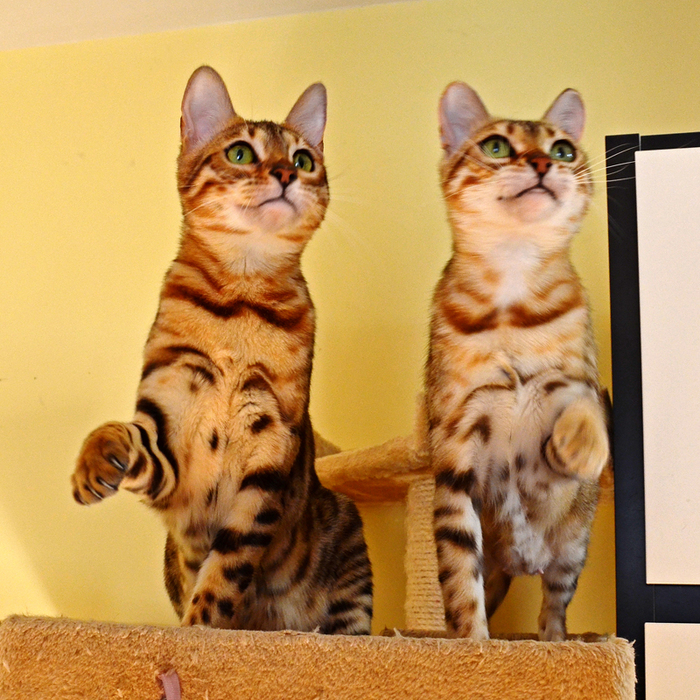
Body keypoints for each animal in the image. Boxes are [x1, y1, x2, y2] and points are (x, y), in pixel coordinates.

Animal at [71, 65, 372, 635]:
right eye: (240, 153)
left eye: (304, 159)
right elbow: (120, 430)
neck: (241, 303)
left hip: (346, 540)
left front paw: (202, 631)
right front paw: (93, 463)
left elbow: (227, 568)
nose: (285, 173)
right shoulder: (170, 432)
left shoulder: (271, 445)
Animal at [426, 82, 609, 641]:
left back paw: (565, 642)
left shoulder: (578, 378)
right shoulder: (456, 441)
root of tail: (519, 564)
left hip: (572, 550)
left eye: (563, 150)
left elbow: (587, 403)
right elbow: (459, 578)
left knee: (553, 605)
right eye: (497, 146)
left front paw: (582, 446)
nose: (542, 163)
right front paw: (475, 645)